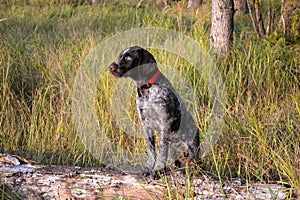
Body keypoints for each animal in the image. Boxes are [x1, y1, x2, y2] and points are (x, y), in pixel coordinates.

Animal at [109, 46, 199, 179]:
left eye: (128, 57)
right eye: (120, 56)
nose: (111, 67)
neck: (147, 89)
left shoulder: (165, 124)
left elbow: (161, 150)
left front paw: (158, 170)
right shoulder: (146, 124)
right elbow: (151, 149)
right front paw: (148, 167)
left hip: (191, 146)